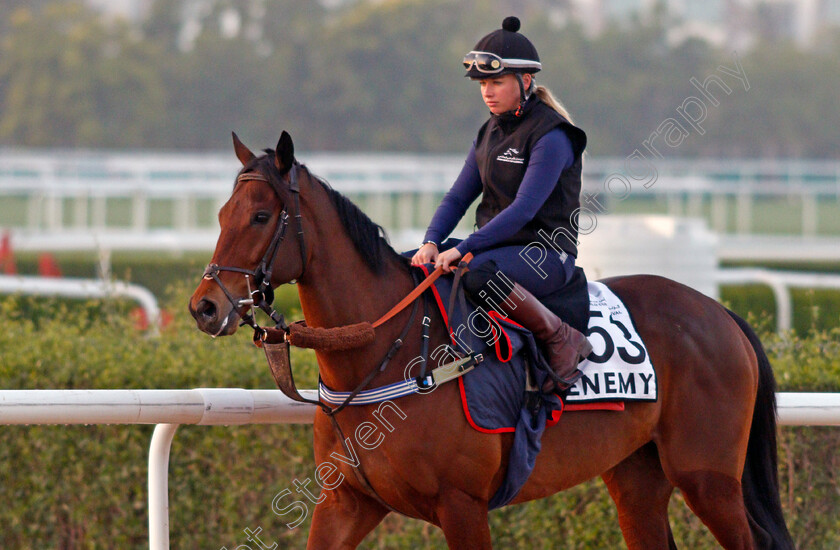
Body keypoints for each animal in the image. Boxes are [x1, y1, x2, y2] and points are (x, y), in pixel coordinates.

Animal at [189, 132, 796, 548]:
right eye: (220, 213)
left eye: (260, 215)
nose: (205, 306)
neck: (392, 354)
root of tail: (721, 313)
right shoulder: (348, 501)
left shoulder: (463, 505)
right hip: (637, 477)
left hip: (709, 478)